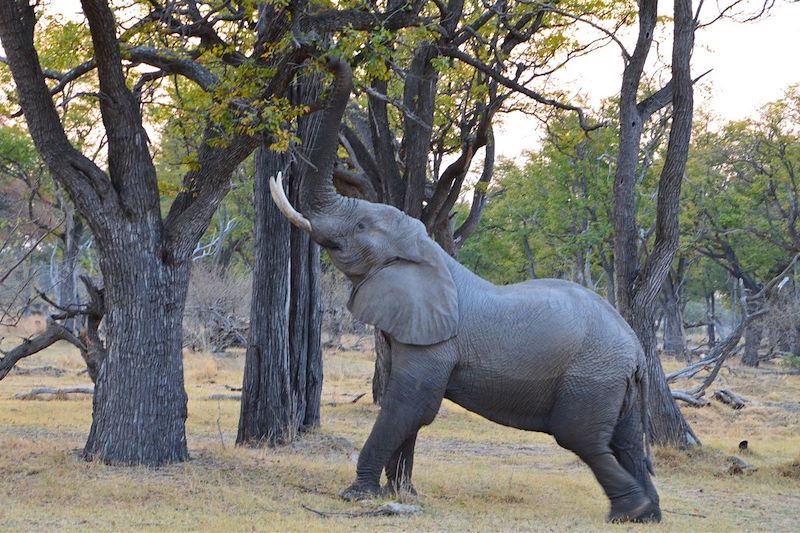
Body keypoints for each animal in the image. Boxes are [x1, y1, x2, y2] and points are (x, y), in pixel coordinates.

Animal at [272, 56, 660, 520]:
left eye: (362, 226)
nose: (331, 60)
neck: (431, 254)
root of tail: (637, 351)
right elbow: (406, 407)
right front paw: (398, 491)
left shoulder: (434, 344)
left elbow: (410, 403)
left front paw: (358, 493)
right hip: (616, 382)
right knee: (626, 442)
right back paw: (650, 515)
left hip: (592, 376)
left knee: (584, 440)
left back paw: (630, 510)